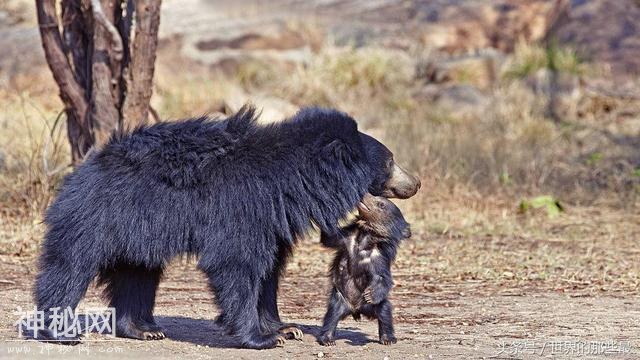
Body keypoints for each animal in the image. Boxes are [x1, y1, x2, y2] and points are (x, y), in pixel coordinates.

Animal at [318, 194, 410, 346]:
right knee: (331, 316)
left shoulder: (379, 257)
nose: (365, 194)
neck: (365, 238)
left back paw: (388, 339)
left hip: (372, 306)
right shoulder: (346, 240)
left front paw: (370, 295)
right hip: (339, 299)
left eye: (381, 204)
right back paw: (327, 339)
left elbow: (383, 278)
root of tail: (355, 309)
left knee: (384, 312)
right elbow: (329, 238)